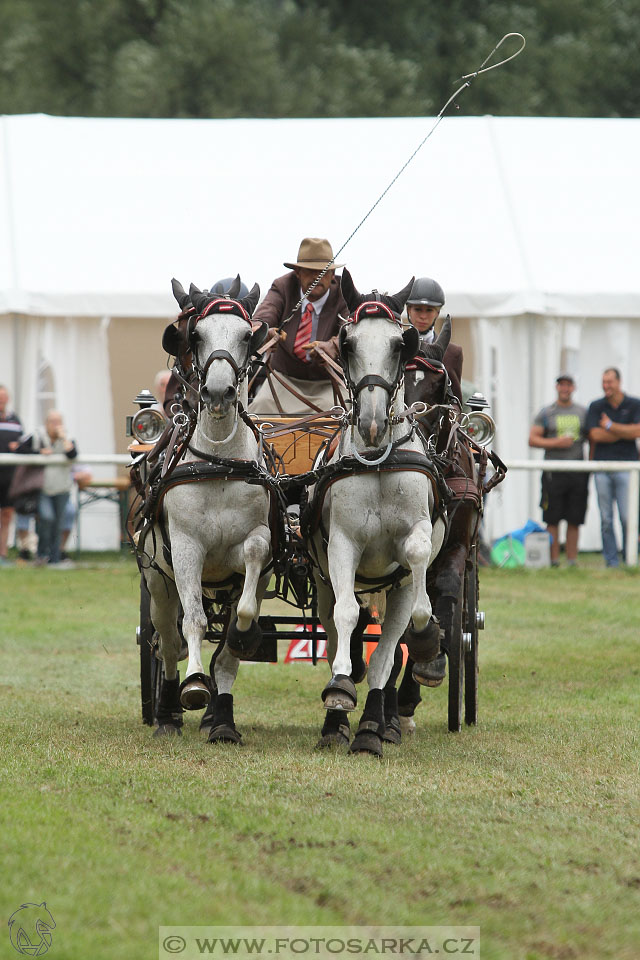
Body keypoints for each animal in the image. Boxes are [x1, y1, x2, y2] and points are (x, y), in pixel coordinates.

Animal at [140, 278, 270, 744]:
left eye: (248, 335)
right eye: (194, 335)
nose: (216, 393)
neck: (219, 461)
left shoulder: (258, 548)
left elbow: (236, 634)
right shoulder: (185, 549)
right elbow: (193, 622)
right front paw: (195, 685)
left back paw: (219, 716)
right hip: (157, 582)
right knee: (165, 639)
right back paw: (166, 712)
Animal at [308, 272, 444, 756]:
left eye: (399, 344)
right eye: (346, 343)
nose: (370, 424)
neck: (378, 461)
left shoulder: (414, 544)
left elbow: (403, 630)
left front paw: (426, 633)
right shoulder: (342, 546)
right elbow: (347, 617)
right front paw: (340, 691)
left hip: (393, 590)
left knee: (390, 649)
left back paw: (376, 724)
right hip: (323, 582)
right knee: (339, 628)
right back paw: (339, 716)